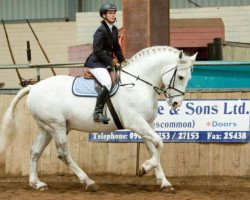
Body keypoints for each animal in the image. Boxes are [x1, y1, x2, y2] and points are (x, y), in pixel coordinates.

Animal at [0, 46, 195, 191]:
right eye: (180, 76)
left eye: (188, 78)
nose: (176, 103)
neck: (139, 84)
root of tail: (34, 87)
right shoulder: (136, 123)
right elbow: (159, 143)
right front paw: (144, 169)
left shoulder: (148, 123)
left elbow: (154, 148)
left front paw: (164, 182)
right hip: (57, 126)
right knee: (63, 154)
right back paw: (88, 182)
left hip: (47, 128)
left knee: (34, 151)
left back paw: (36, 183)